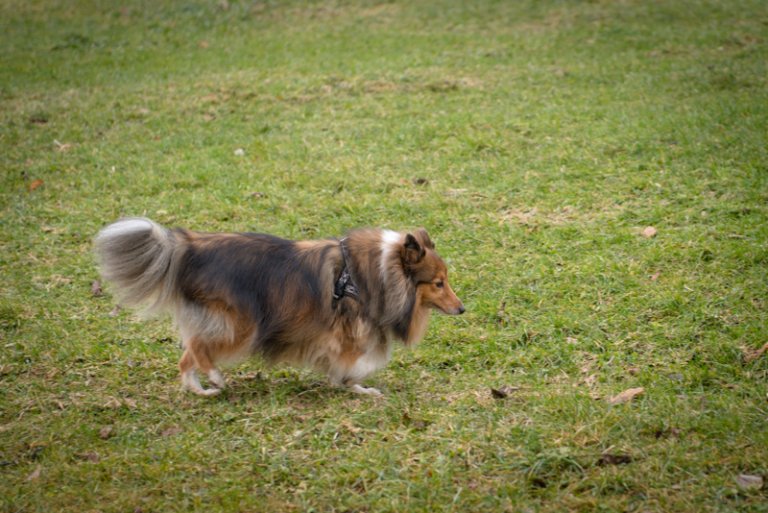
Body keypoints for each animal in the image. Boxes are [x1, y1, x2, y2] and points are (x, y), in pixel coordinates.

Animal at [96, 218, 468, 398]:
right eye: (438, 283)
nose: (462, 308)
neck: (378, 274)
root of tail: (190, 247)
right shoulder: (346, 336)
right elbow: (349, 367)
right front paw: (359, 387)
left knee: (186, 357)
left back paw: (202, 390)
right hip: (243, 325)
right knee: (199, 347)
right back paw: (214, 376)